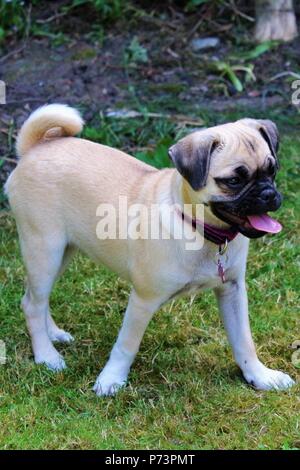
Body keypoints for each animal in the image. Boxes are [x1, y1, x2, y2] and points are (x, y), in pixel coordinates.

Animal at [5, 104, 296, 394]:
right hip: (45, 249)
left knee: (38, 298)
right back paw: (46, 356)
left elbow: (243, 341)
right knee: (32, 304)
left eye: (272, 170)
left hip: (63, 251)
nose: (268, 194)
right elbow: (126, 345)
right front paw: (111, 379)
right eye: (234, 181)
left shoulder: (232, 290)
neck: (201, 230)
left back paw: (53, 334)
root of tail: (33, 148)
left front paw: (259, 375)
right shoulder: (143, 299)